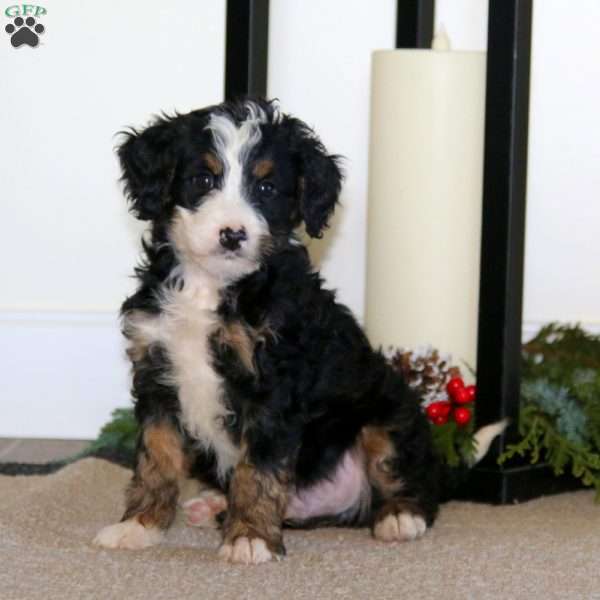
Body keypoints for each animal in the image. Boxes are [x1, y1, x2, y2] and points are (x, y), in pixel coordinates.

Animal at [92, 97, 488, 564]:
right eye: (203, 179)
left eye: (266, 189)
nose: (232, 234)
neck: (212, 286)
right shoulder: (157, 373)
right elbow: (156, 456)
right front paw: (139, 525)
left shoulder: (273, 384)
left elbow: (259, 468)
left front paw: (249, 537)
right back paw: (213, 503)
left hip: (386, 410)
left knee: (404, 472)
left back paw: (400, 516)